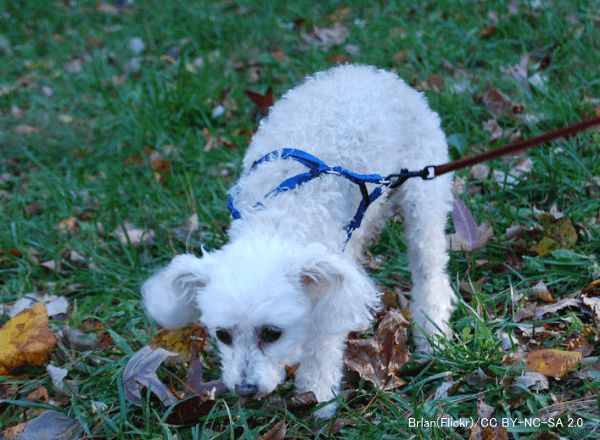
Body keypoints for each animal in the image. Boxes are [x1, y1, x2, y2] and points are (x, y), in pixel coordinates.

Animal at [142, 64, 454, 416]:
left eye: (271, 333)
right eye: (222, 335)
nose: (245, 389)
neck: (277, 219)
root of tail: (373, 73)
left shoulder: (326, 293)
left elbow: (322, 351)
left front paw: (318, 401)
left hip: (424, 194)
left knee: (431, 273)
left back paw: (433, 333)